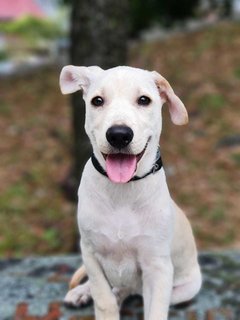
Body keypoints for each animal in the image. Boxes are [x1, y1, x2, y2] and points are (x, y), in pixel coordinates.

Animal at [59, 65, 202, 320]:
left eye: (144, 100)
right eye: (97, 101)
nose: (118, 135)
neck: (122, 191)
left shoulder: (157, 267)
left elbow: (153, 310)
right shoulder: (90, 252)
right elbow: (103, 299)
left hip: (184, 288)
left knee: (129, 289)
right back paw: (81, 292)